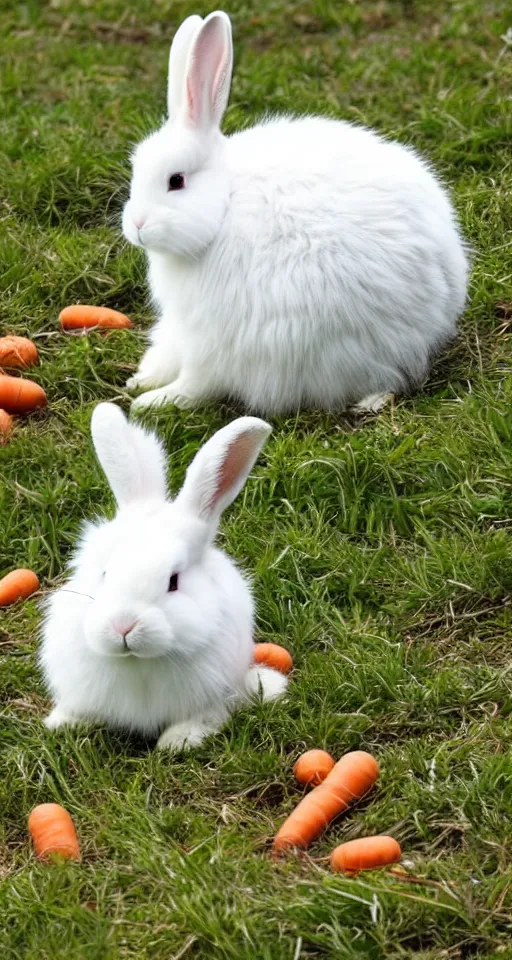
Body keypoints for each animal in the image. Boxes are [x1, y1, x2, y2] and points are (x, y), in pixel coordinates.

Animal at [39, 404, 288, 752]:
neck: (138, 661)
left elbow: (204, 718)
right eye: (105, 573)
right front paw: (61, 723)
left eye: (173, 581)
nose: (123, 626)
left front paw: (178, 741)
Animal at [123, 10, 468, 416]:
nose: (136, 225)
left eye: (175, 181)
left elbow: (197, 381)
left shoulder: (213, 335)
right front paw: (140, 379)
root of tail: (436, 321)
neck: (225, 203)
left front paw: (150, 400)